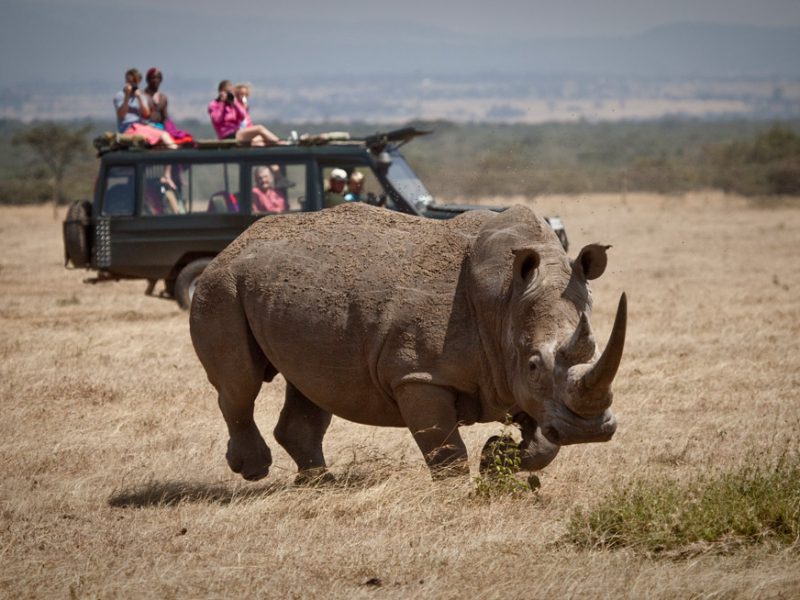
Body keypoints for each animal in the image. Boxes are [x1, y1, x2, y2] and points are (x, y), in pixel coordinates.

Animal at [189, 204, 624, 480]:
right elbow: (445, 451)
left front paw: (496, 458)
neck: (505, 301)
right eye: (534, 365)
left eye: (594, 350)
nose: (587, 431)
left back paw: (319, 484)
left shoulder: (513, 376)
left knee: (310, 386)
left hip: (288, 296)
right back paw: (253, 469)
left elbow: (544, 444)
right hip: (220, 285)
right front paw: (459, 495)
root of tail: (234, 243)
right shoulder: (418, 375)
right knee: (241, 384)